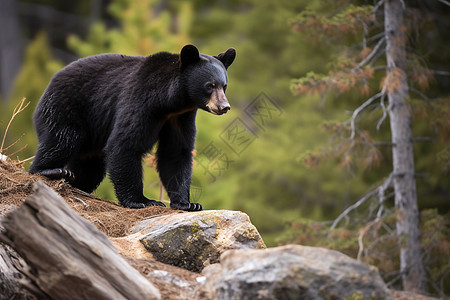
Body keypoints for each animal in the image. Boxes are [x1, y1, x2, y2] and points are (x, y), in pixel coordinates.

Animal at [29, 44, 236, 211]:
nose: (224, 107)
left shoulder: (180, 117)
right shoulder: (140, 102)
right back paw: (51, 171)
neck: (169, 103)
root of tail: (50, 83)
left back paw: (75, 182)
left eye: (224, 86)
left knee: (90, 167)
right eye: (210, 85)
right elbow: (125, 144)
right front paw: (143, 200)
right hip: (65, 107)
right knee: (60, 140)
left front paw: (187, 203)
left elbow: (176, 153)